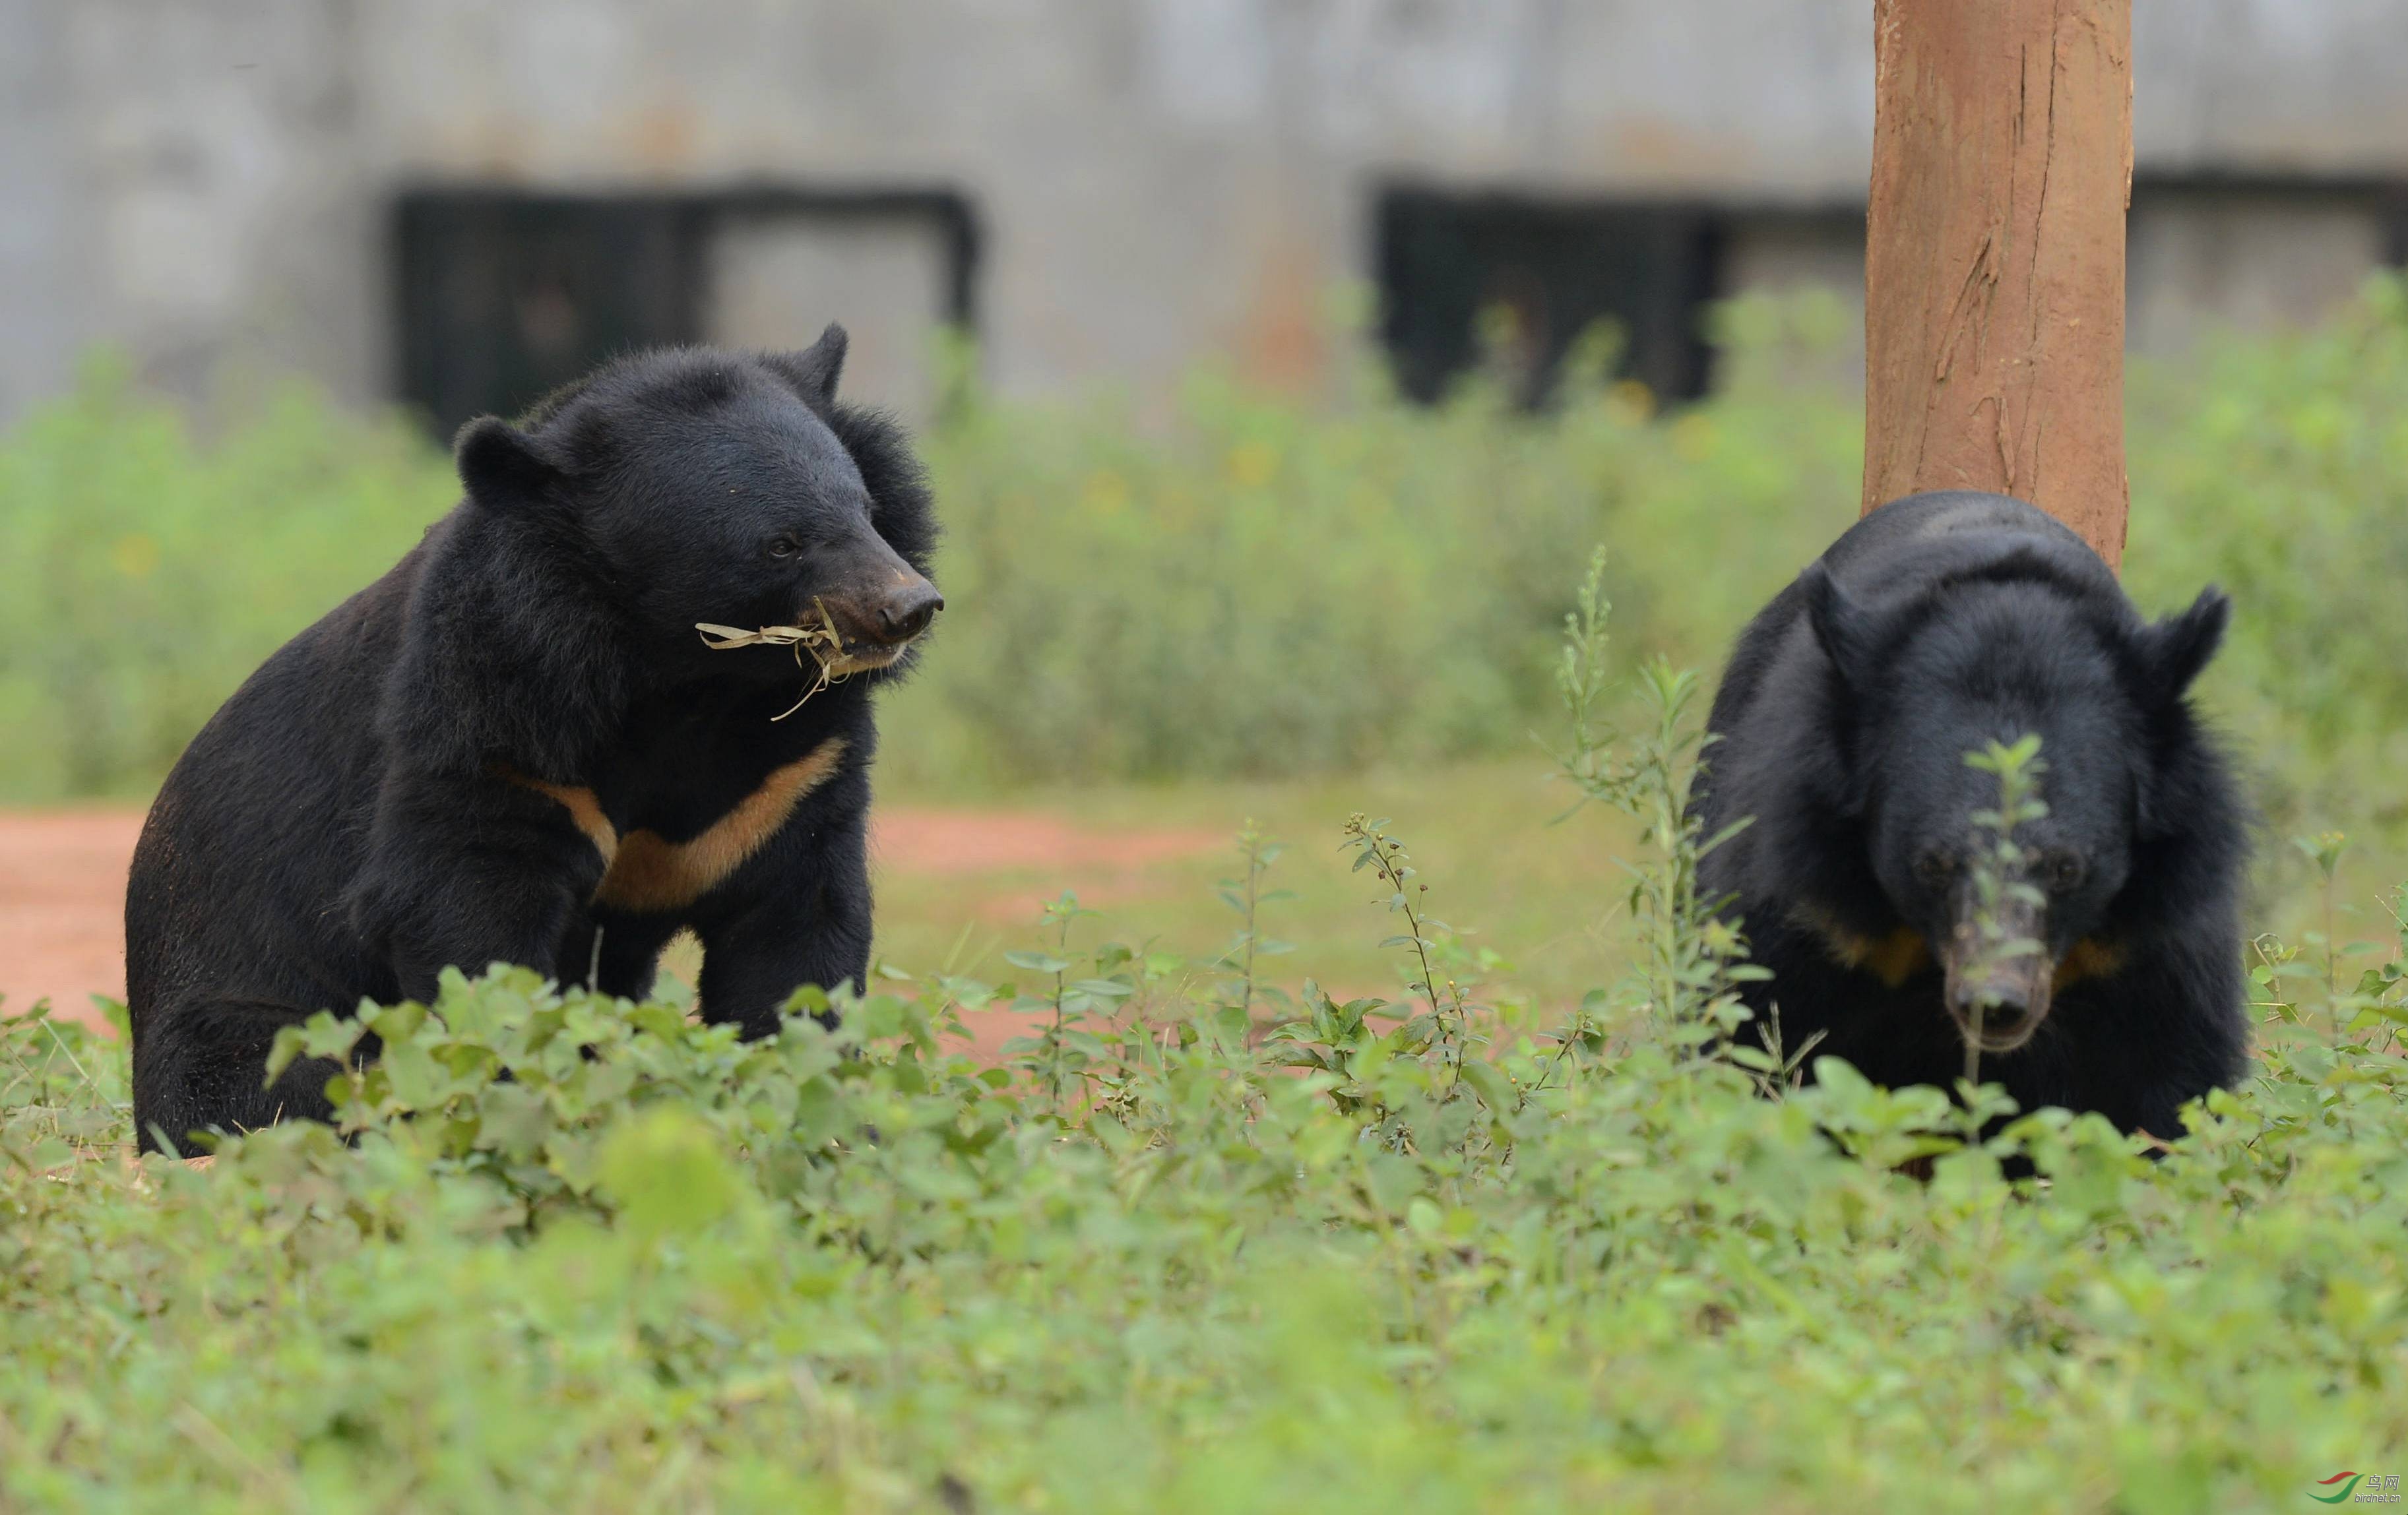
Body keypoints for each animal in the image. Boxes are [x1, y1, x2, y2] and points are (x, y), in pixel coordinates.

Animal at [124, 330, 939, 1151]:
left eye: (867, 510)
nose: (908, 606)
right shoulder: (496, 724)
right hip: (233, 1004)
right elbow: (470, 925)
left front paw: (818, 1113)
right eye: (781, 543)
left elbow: (795, 935)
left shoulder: (791, 771)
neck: (687, 681)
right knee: (289, 1077)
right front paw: (519, 1105)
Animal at [1686, 486, 2244, 1136]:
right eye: (1932, 863)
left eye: (2068, 868)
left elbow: (2170, 1081)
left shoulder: (2153, 935)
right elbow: (1758, 1028)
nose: (1994, 1006)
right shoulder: (1807, 898)